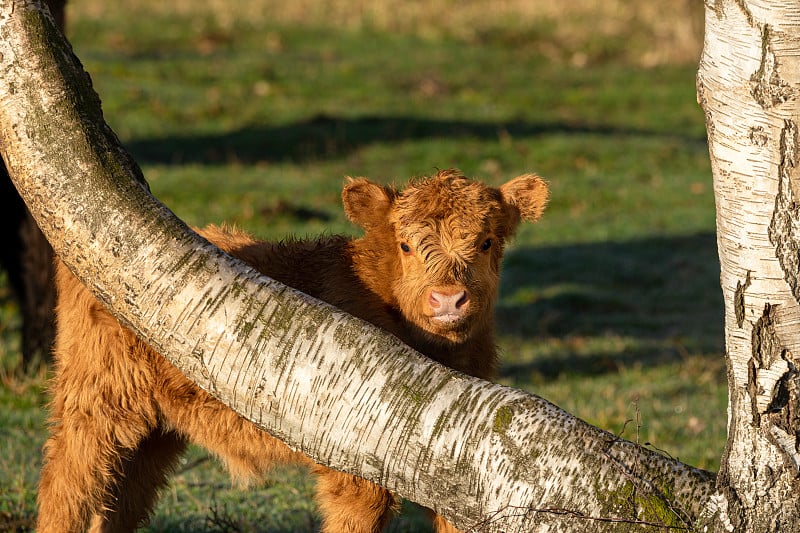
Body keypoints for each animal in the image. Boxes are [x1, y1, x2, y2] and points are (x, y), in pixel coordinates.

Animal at [39, 169, 552, 532]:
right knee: (67, 490)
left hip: (155, 430)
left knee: (120, 504)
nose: (447, 299)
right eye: (406, 245)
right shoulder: (355, 470)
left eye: (486, 242)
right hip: (93, 404)